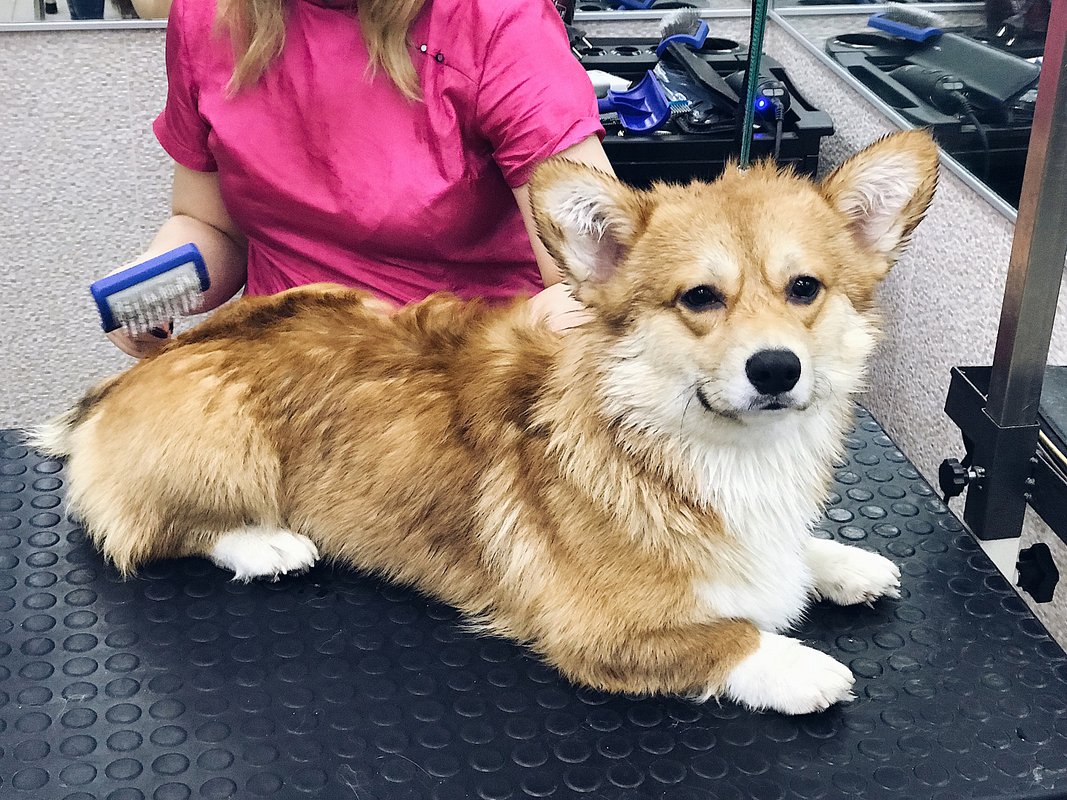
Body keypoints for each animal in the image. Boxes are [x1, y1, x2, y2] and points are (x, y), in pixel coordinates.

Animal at [34, 130, 938, 715]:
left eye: (804, 288)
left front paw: (839, 562)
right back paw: (267, 545)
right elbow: (730, 636)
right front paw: (800, 667)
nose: (775, 369)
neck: (707, 450)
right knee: (142, 529)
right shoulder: (597, 632)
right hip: (226, 442)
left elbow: (789, 557)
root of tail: (140, 366)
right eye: (699, 298)